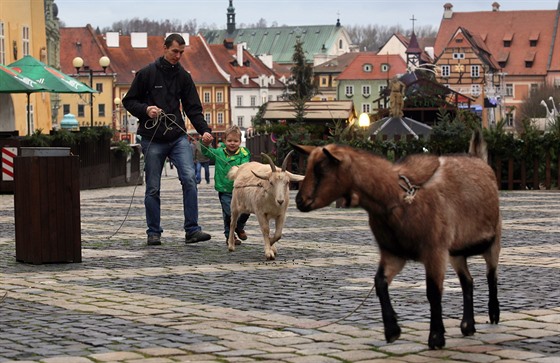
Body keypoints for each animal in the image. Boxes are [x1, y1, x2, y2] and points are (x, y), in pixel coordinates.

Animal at [294, 132, 504, 350]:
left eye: (320, 170)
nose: (299, 201)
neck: (396, 196)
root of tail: (479, 159)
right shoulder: (393, 253)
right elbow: (379, 282)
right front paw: (392, 330)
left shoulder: (434, 250)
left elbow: (433, 291)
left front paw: (436, 337)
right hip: (456, 252)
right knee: (467, 281)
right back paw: (467, 326)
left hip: (493, 240)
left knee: (491, 275)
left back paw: (493, 314)